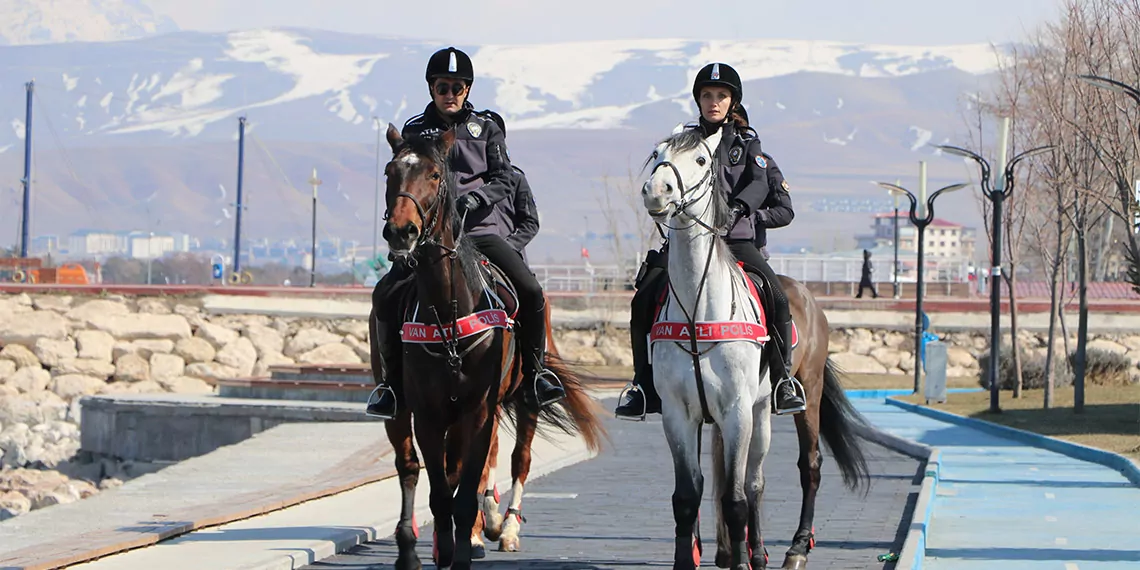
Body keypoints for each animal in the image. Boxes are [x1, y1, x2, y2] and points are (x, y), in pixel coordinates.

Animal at [373, 124, 606, 570]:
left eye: (434, 175)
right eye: (390, 172)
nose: (401, 232)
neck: (448, 312)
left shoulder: (479, 410)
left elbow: (465, 490)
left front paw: (466, 547)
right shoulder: (428, 412)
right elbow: (439, 490)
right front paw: (444, 549)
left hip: (525, 399)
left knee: (518, 459)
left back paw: (506, 527)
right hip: (400, 408)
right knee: (410, 467)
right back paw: (411, 548)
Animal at [642, 127, 775, 567]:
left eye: (701, 160)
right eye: (656, 154)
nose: (657, 191)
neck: (699, 310)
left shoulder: (737, 411)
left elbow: (734, 498)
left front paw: (741, 560)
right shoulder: (677, 413)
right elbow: (687, 496)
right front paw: (687, 559)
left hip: (761, 415)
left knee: (753, 484)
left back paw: (757, 553)